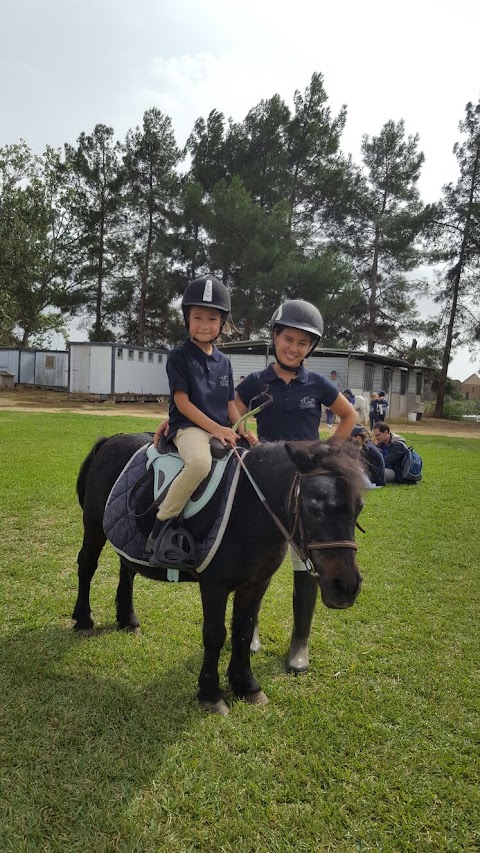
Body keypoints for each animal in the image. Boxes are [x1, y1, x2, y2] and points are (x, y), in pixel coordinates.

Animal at [72, 432, 364, 712]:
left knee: (127, 570)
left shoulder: (257, 583)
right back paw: (84, 621)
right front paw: (211, 694)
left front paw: (247, 686)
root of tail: (110, 440)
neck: (249, 506)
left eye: (359, 507)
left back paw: (127, 620)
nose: (346, 586)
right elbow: (215, 635)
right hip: (94, 527)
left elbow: (243, 631)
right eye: (314, 509)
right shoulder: (214, 585)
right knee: (87, 566)